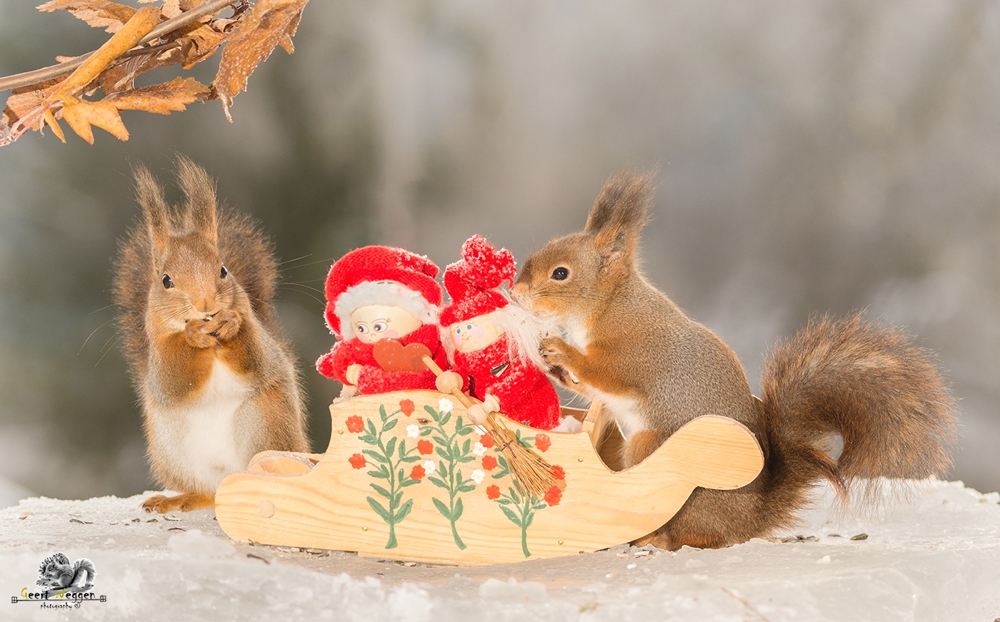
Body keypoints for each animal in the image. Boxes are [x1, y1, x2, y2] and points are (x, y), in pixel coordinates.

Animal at [512, 172, 956, 552]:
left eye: (561, 273)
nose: (515, 294)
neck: (608, 305)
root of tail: (749, 522)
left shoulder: (638, 351)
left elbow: (607, 374)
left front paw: (561, 351)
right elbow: (590, 390)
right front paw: (553, 364)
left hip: (650, 450)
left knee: (693, 534)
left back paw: (656, 538)